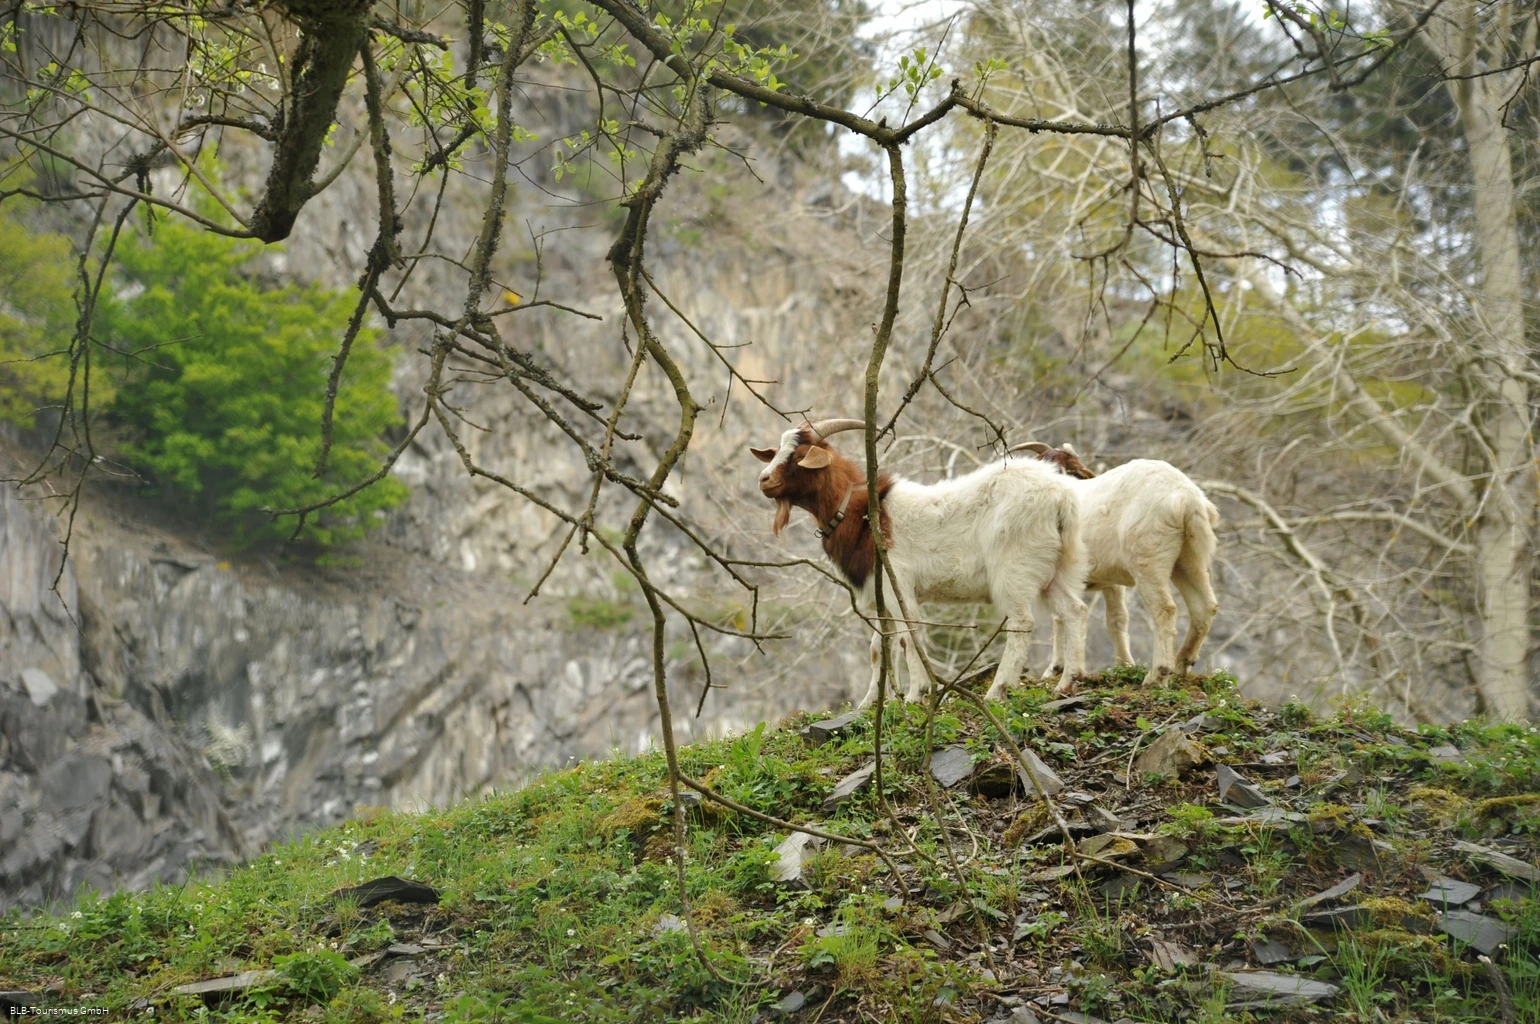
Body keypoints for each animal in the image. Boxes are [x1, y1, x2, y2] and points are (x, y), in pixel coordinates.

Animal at [751, 420, 1090, 705]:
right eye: (777, 451)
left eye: (799, 456)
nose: (763, 480)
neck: (863, 513)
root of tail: (1060, 497)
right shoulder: (882, 595)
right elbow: (879, 647)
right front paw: (870, 704)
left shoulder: (897, 585)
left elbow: (907, 638)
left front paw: (916, 694)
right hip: (1058, 568)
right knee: (1074, 610)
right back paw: (1067, 683)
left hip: (1014, 568)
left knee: (1022, 622)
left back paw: (998, 690)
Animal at [1012, 442, 1220, 684]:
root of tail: (1186, 497)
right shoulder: (1111, 581)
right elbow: (1116, 619)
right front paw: (1125, 665)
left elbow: (1060, 618)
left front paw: (1055, 668)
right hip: (1189, 558)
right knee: (1204, 606)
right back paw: (1181, 665)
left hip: (1148, 558)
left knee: (1165, 609)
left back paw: (1157, 675)